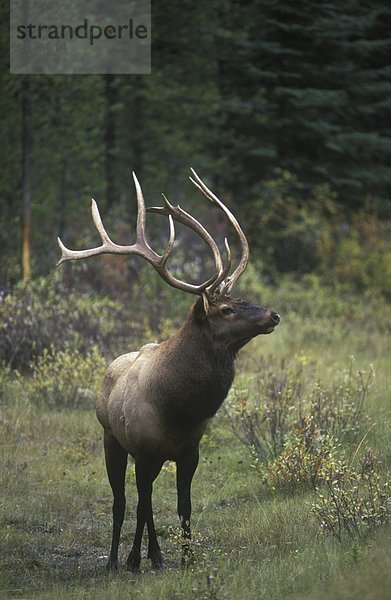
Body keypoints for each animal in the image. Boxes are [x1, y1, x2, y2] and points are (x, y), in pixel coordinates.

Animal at [56, 170, 280, 572]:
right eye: (226, 309)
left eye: (242, 298)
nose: (273, 314)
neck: (178, 407)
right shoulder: (144, 450)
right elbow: (141, 505)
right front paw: (142, 558)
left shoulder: (189, 451)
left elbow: (182, 505)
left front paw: (186, 557)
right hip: (112, 439)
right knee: (122, 502)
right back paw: (116, 560)